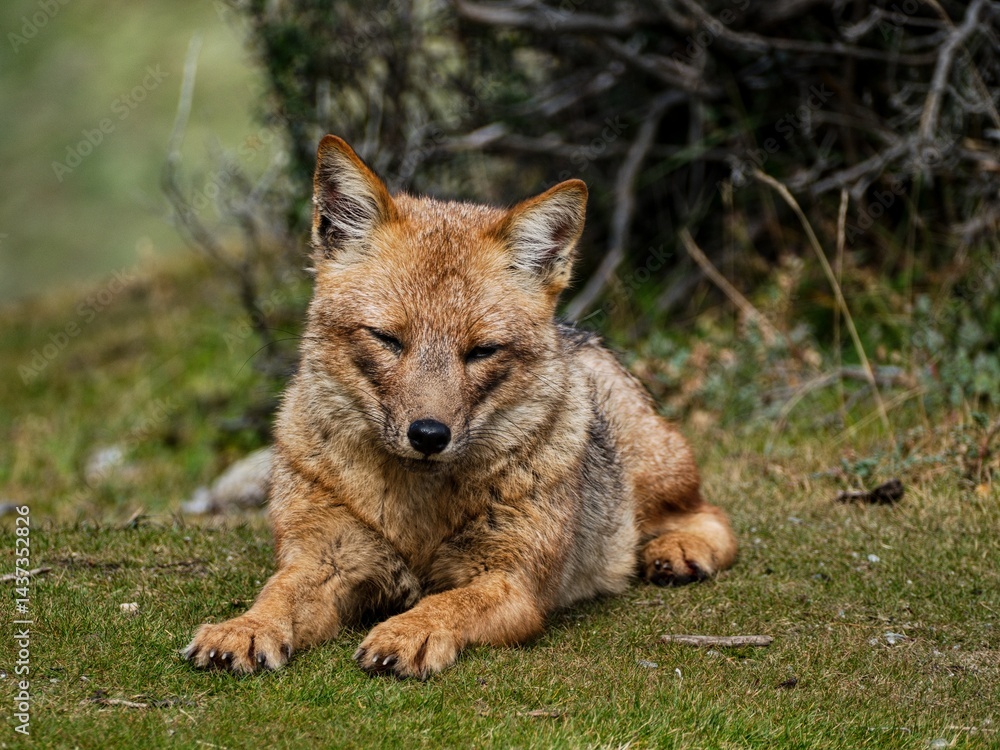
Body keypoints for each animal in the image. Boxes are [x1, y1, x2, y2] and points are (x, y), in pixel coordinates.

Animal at [184, 134, 738, 679]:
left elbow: (446, 603)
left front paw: (409, 631)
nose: (429, 434)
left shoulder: (512, 583)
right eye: (386, 339)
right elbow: (277, 593)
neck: (415, 515)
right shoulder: (321, 558)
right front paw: (244, 627)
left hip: (655, 478)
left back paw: (678, 550)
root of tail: (578, 336)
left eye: (481, 351)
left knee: (711, 516)